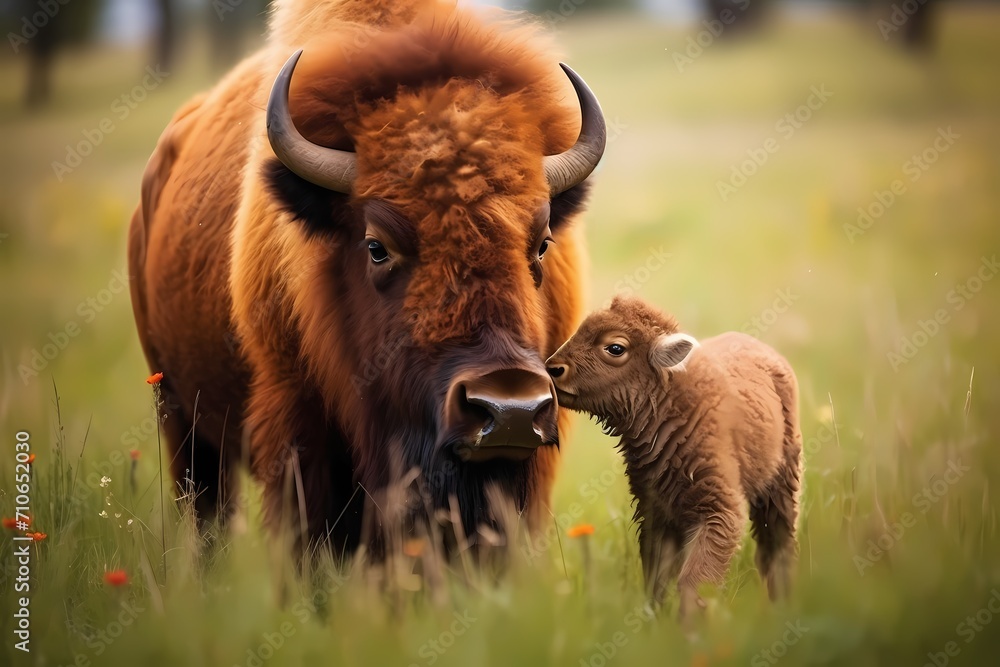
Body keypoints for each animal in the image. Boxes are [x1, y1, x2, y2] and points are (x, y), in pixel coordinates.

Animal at [548, 294, 804, 620]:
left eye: (615, 347)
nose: (553, 368)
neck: (676, 399)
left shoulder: (719, 512)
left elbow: (693, 580)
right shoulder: (656, 512)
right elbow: (657, 576)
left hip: (782, 484)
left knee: (778, 545)